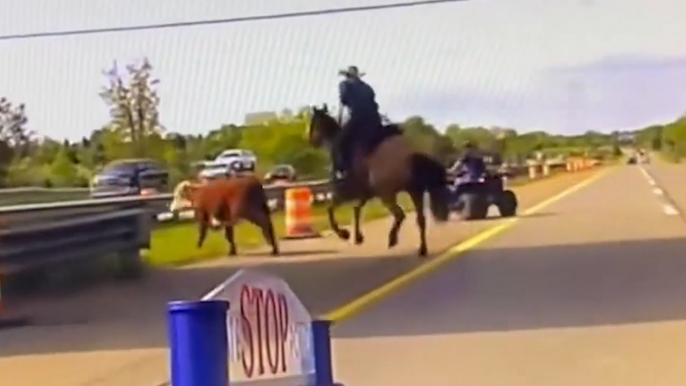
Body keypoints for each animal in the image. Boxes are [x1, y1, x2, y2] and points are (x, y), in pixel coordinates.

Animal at [308, 104, 452, 258]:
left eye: (313, 122)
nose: (311, 141)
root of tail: (411, 155)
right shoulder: (365, 194)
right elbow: (356, 209)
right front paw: (358, 237)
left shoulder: (344, 192)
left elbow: (331, 209)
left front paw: (344, 234)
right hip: (414, 191)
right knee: (420, 219)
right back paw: (422, 249)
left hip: (387, 194)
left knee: (400, 215)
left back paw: (392, 239)